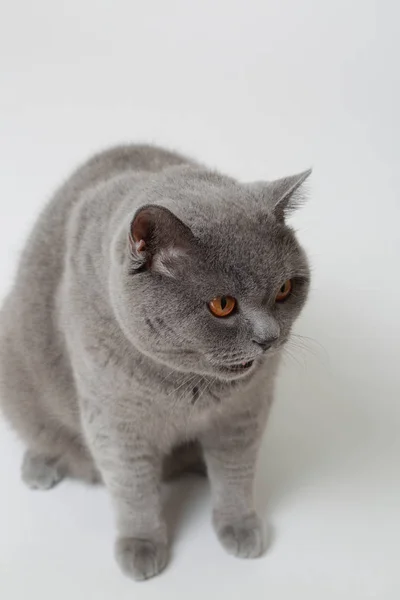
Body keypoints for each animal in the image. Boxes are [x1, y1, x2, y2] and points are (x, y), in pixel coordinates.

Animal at [0, 145, 310, 580]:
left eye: (284, 289)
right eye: (222, 305)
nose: (270, 338)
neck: (189, 387)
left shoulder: (244, 413)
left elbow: (235, 473)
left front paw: (240, 527)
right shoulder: (116, 422)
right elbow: (133, 489)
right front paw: (141, 545)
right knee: (39, 430)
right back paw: (40, 466)